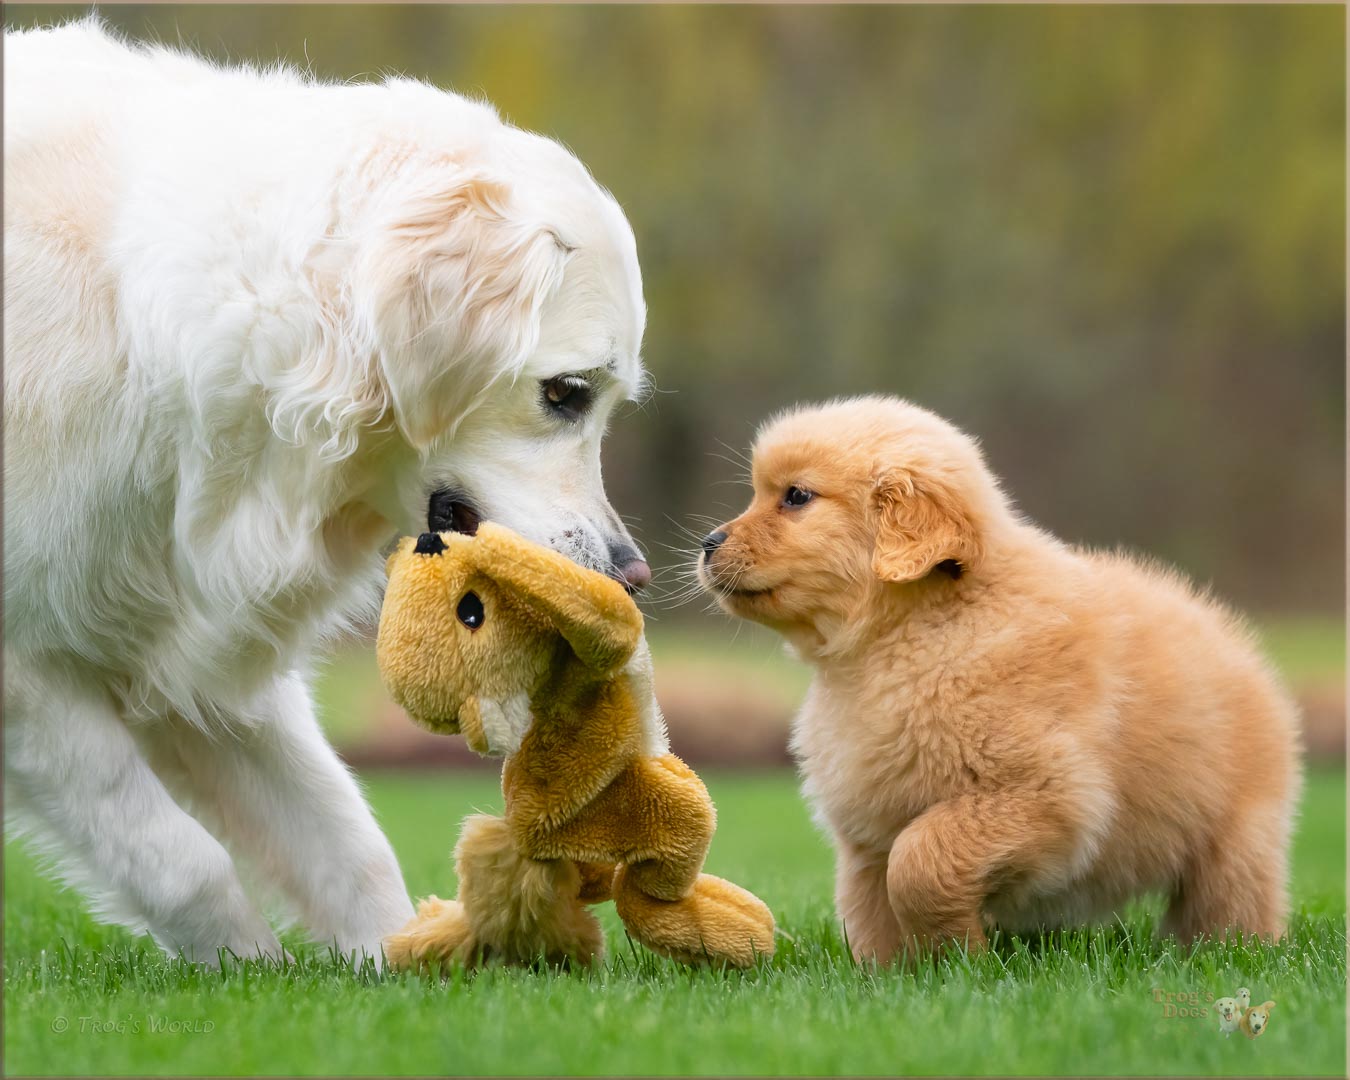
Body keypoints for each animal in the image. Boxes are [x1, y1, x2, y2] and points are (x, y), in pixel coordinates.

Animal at [702, 394, 1301, 961]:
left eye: (797, 497)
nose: (707, 543)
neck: (910, 638)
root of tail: (1228, 634)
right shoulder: (866, 831)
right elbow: (869, 907)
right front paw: (891, 975)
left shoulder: (1043, 797)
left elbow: (918, 862)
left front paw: (958, 959)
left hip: (1237, 838)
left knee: (1230, 907)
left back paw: (1228, 953)